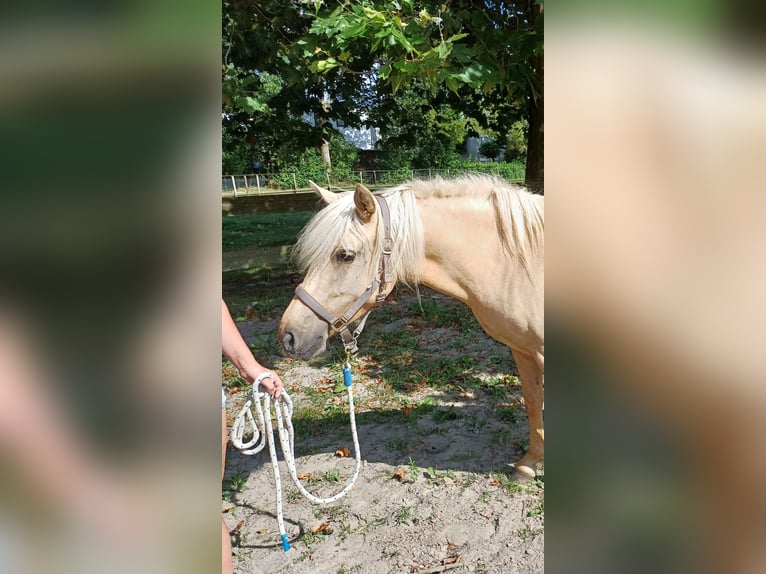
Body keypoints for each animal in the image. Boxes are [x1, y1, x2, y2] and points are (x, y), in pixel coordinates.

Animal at [280, 177, 544, 482]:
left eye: (345, 256)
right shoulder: (523, 349)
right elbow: (533, 401)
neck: (518, 264)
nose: (288, 336)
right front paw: (529, 464)